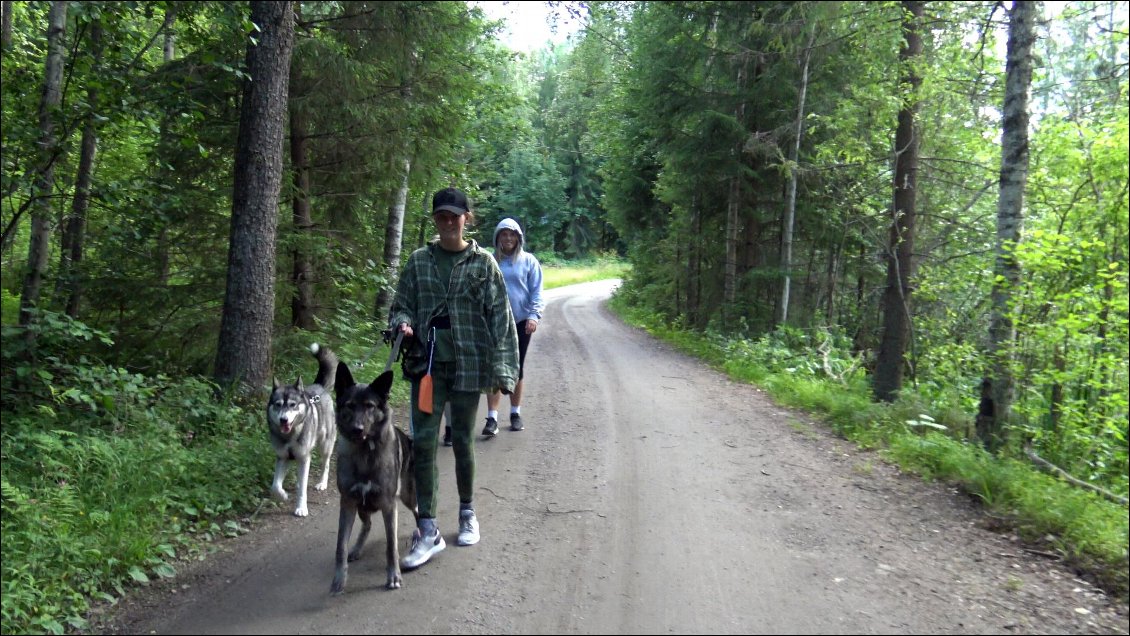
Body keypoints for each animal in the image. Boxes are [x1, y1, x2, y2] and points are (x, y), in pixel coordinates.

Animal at [266, 343, 336, 517]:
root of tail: (319, 387)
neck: (291, 435)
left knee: (326, 464)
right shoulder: (283, 457)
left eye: (293, 405)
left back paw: (322, 483)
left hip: (325, 444)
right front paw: (283, 495)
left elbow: (303, 489)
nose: (283, 420)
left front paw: (301, 508)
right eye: (278, 404)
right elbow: (275, 486)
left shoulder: (304, 457)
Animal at [329, 366, 420, 596]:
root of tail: (409, 439)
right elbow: (340, 546)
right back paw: (357, 548)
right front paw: (339, 579)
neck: (365, 454)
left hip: (408, 497)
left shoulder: (389, 505)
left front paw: (393, 576)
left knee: (418, 512)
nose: (358, 429)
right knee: (367, 524)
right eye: (350, 405)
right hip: (362, 506)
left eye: (370, 406)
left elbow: (391, 546)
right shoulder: (348, 503)